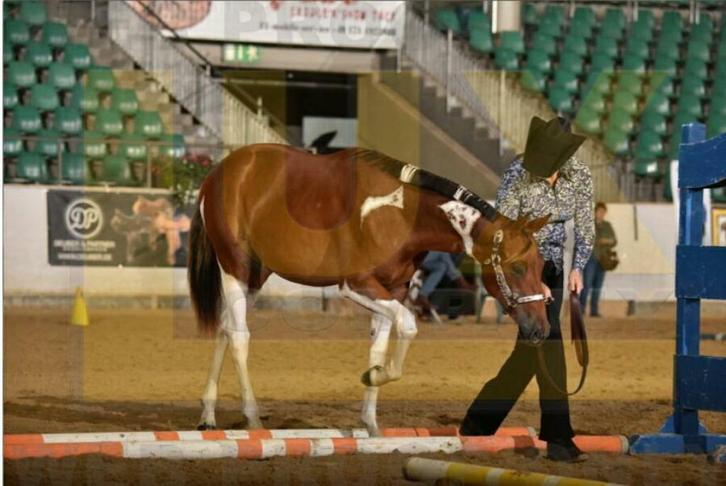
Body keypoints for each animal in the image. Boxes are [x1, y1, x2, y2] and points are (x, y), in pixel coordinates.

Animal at [187, 144, 551, 436]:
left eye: (542, 265)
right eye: (518, 267)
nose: (541, 328)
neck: (401, 214)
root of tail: (217, 173)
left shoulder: (392, 290)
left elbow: (378, 347)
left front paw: (371, 421)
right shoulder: (357, 285)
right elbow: (408, 325)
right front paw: (375, 377)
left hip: (256, 276)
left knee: (225, 327)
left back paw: (207, 415)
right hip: (234, 269)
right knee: (239, 336)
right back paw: (251, 418)